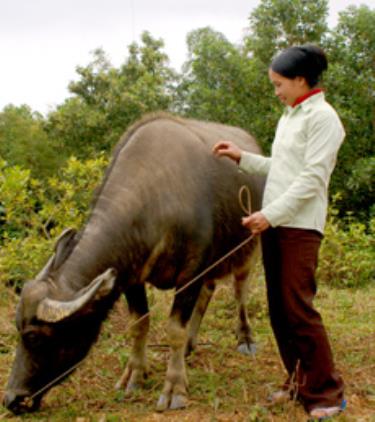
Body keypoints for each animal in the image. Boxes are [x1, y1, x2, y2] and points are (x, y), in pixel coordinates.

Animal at [4, 113, 266, 414]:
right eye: (17, 330)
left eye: (34, 337)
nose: (11, 399)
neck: (156, 199)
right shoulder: (132, 277)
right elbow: (140, 323)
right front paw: (134, 375)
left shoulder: (191, 272)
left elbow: (174, 329)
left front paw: (174, 387)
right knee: (207, 294)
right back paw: (190, 344)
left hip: (248, 248)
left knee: (240, 291)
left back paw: (245, 339)